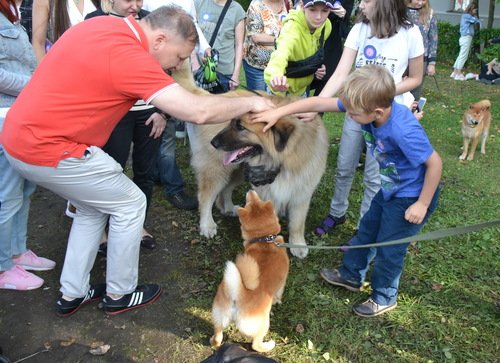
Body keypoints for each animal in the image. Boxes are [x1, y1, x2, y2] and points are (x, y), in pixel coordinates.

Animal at [172, 64, 328, 260]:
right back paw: (207, 224)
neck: (282, 161)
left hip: (237, 170)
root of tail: (212, 97)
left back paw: (228, 208)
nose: (214, 143)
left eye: (240, 127)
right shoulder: (266, 193)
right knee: (206, 197)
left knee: (225, 191)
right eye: (231, 122)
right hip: (217, 170)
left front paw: (297, 244)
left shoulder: (301, 192)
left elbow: (298, 222)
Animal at [210, 191, 290, 352]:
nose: (251, 191)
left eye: (256, 200)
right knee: (255, 344)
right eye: (249, 202)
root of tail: (238, 295)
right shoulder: (282, 282)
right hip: (263, 324)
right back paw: (268, 345)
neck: (264, 239)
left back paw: (212, 341)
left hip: (219, 316)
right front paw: (278, 301)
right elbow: (279, 294)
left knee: (218, 337)